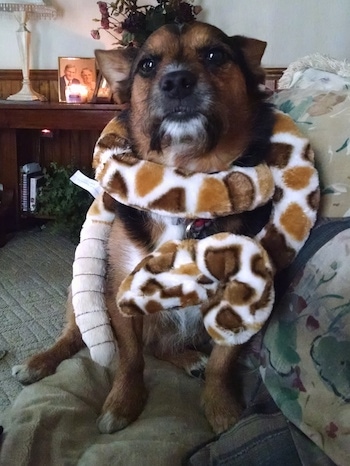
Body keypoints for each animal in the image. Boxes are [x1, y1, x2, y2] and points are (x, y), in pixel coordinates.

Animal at [13, 21, 276, 436]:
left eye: (215, 55)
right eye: (148, 65)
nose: (177, 81)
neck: (185, 183)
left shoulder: (242, 294)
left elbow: (222, 363)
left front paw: (222, 411)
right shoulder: (122, 289)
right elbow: (131, 359)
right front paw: (123, 403)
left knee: (162, 347)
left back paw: (189, 359)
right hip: (79, 291)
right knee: (75, 336)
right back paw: (39, 362)